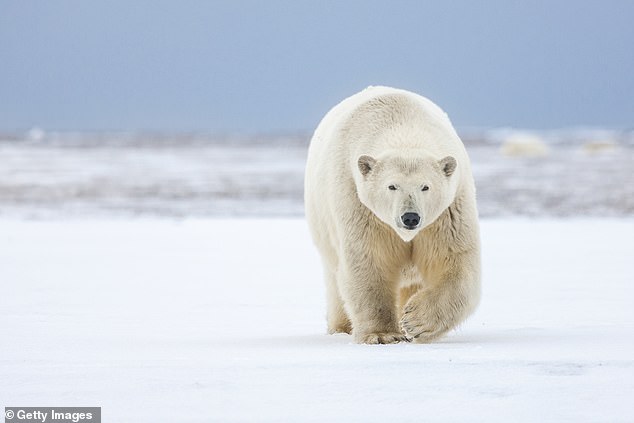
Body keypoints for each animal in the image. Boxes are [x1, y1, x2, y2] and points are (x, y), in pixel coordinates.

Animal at [304, 86, 476, 344]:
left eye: (425, 186)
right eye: (392, 186)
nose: (410, 217)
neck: (402, 124)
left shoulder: (449, 211)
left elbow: (453, 260)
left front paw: (414, 322)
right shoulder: (358, 203)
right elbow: (369, 261)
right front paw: (383, 334)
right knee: (335, 281)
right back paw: (341, 327)